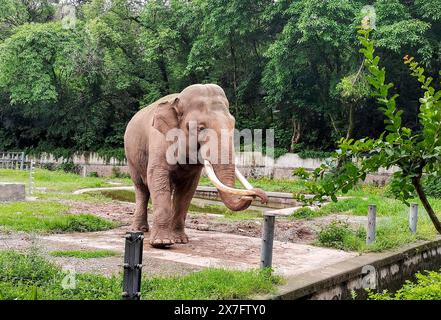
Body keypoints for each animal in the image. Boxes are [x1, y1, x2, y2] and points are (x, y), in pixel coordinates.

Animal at [124, 83, 268, 248]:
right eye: (201, 128)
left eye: (233, 124)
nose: (262, 196)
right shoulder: (159, 141)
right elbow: (157, 176)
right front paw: (162, 243)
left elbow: (188, 189)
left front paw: (180, 240)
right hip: (131, 157)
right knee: (141, 188)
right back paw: (139, 230)